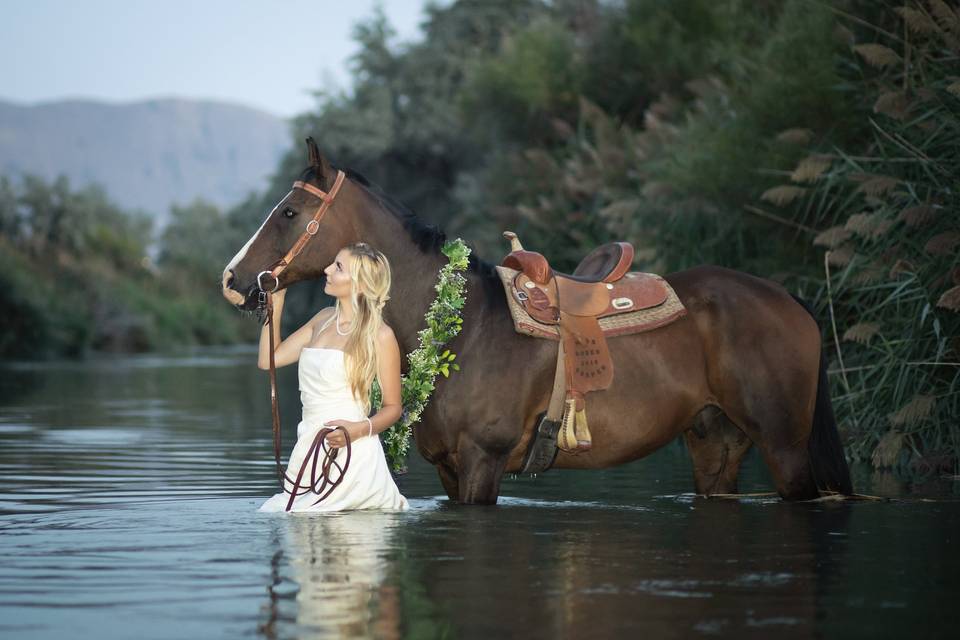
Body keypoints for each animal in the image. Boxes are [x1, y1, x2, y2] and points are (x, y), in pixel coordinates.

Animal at [221, 139, 852, 504]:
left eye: (289, 212)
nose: (234, 279)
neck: (465, 327)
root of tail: (788, 300)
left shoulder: (483, 461)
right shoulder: (450, 470)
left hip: (784, 447)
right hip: (716, 441)